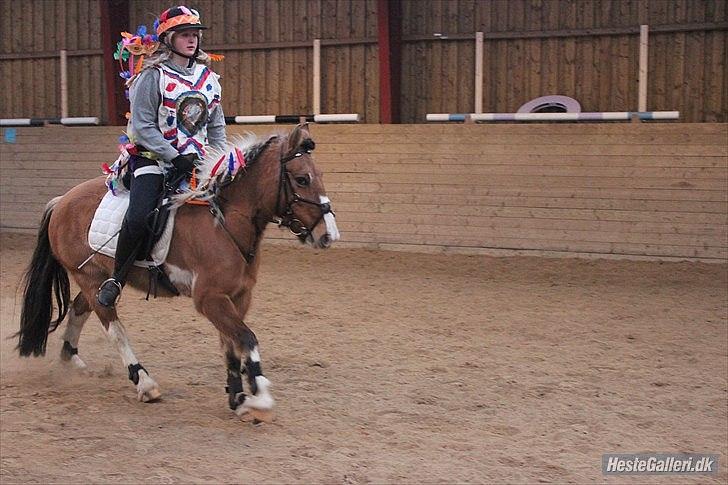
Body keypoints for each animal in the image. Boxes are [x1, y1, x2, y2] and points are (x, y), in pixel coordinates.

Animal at [15, 122, 339, 422]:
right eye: (302, 179)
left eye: (319, 176)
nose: (328, 235)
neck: (224, 223)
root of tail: (62, 201)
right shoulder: (209, 298)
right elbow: (246, 338)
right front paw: (259, 398)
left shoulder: (238, 297)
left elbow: (231, 345)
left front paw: (237, 396)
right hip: (91, 279)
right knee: (113, 328)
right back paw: (144, 383)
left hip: (98, 277)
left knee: (79, 308)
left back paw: (71, 361)